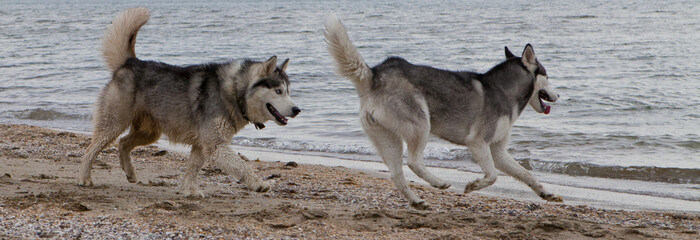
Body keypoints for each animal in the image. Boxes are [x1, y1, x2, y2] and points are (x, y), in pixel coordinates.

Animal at [78, 8, 300, 196]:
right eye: (278, 91)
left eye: (288, 91)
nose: (297, 109)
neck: (234, 92)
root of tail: (130, 63)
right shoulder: (216, 145)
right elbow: (241, 164)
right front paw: (257, 182)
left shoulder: (202, 144)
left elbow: (193, 168)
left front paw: (189, 190)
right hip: (113, 123)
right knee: (91, 149)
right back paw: (84, 178)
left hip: (149, 132)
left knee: (123, 143)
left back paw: (130, 172)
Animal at [326, 14, 560, 208]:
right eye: (547, 76)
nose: (558, 96)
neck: (504, 90)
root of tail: (376, 75)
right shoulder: (478, 143)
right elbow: (492, 176)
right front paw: (473, 185)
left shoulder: (498, 151)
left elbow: (527, 174)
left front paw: (546, 193)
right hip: (421, 125)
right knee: (413, 162)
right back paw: (439, 183)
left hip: (388, 139)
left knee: (397, 174)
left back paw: (417, 201)